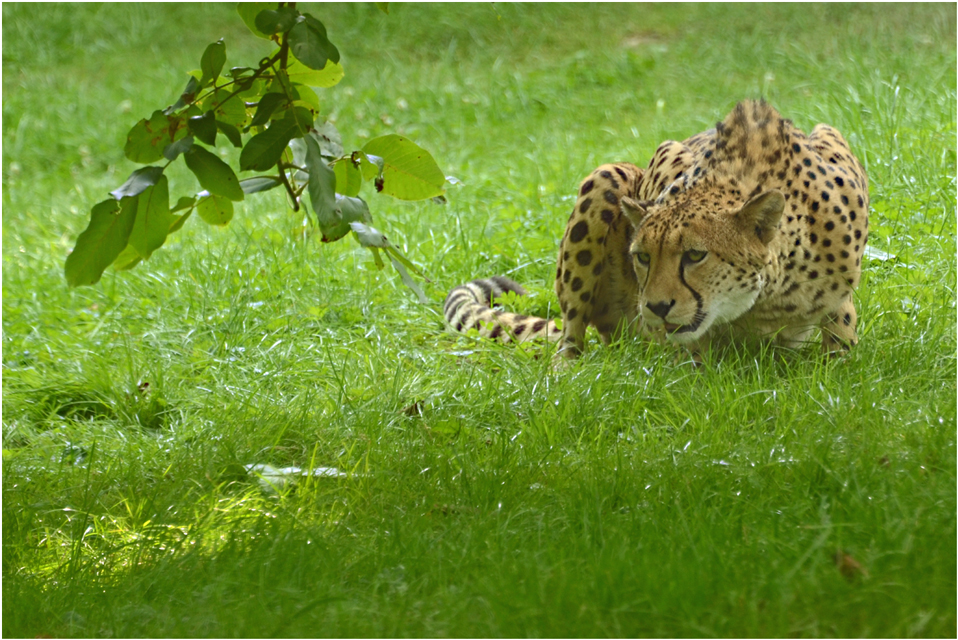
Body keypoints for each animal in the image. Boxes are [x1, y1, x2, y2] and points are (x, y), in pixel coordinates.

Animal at [446, 100, 872, 360]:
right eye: (642, 257)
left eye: (696, 255)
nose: (655, 307)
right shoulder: (664, 160)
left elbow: (840, 338)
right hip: (607, 176)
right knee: (571, 336)